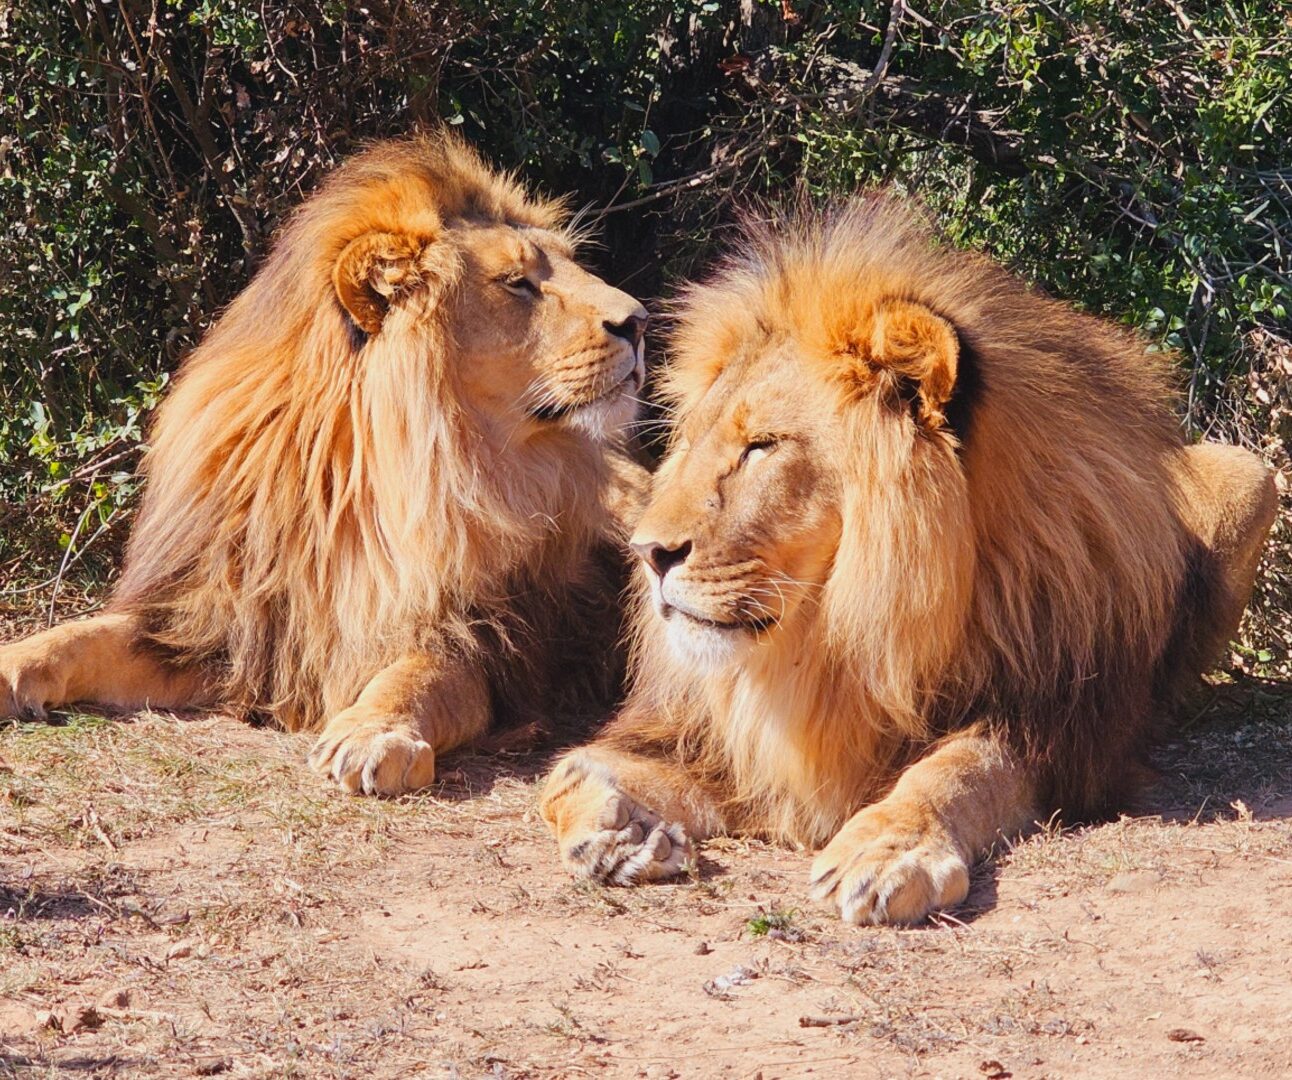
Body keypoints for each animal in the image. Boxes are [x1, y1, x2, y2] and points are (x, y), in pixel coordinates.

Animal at [0, 133, 646, 790]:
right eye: (516, 282)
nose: (641, 320)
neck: (364, 476)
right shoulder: (218, 622)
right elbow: (77, 637)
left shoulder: (483, 635)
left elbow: (419, 676)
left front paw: (374, 733)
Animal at [540, 197, 1276, 924]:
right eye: (692, 442)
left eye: (762, 446)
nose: (648, 553)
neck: (835, 638)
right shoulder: (709, 740)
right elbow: (566, 773)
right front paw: (614, 833)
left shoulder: (1058, 727)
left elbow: (959, 770)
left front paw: (889, 848)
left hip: (1250, 473)